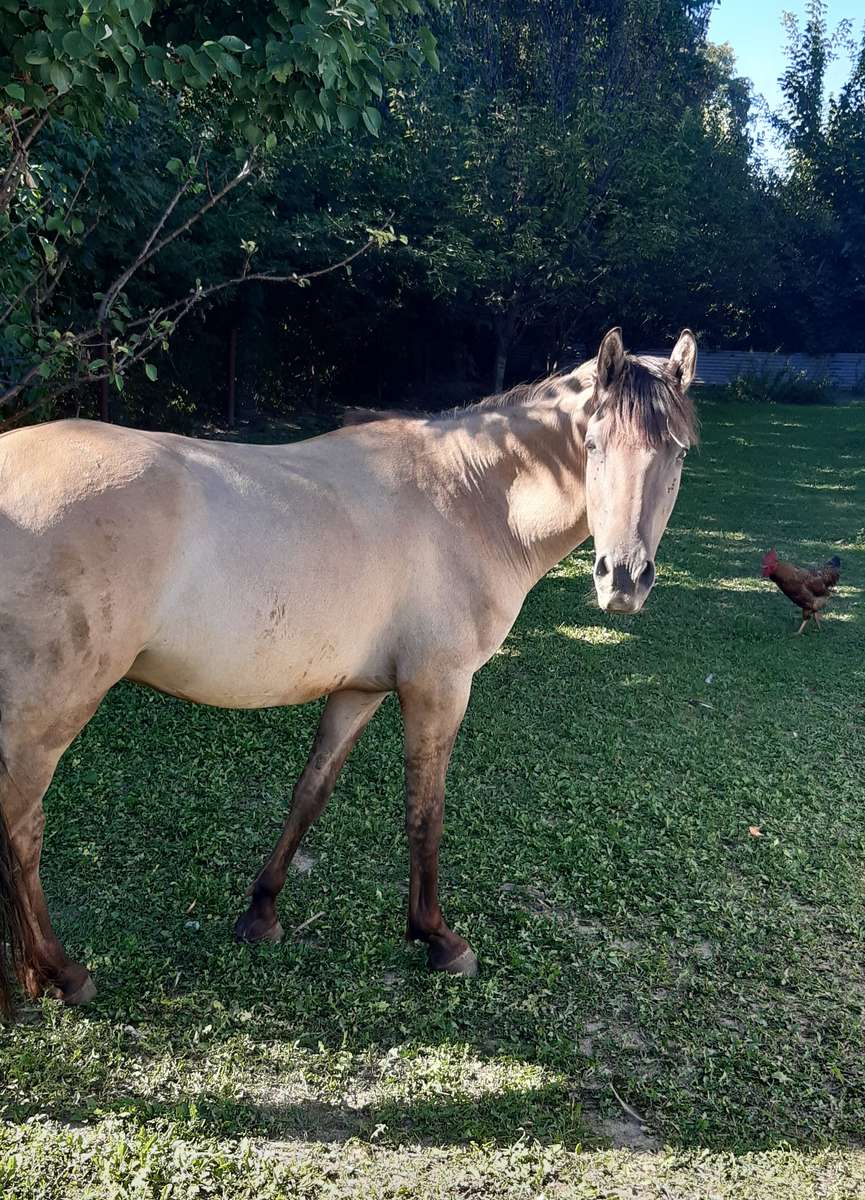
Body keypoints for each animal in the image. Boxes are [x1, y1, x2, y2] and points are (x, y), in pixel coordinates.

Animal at [0, 328, 695, 1012]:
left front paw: (262, 915)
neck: (467, 497)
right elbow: (425, 811)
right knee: (23, 829)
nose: (623, 580)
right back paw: (61, 973)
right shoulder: (439, 687)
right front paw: (438, 938)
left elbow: (311, 792)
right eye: (594, 445)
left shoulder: (359, 690)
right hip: (48, 712)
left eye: (678, 454)